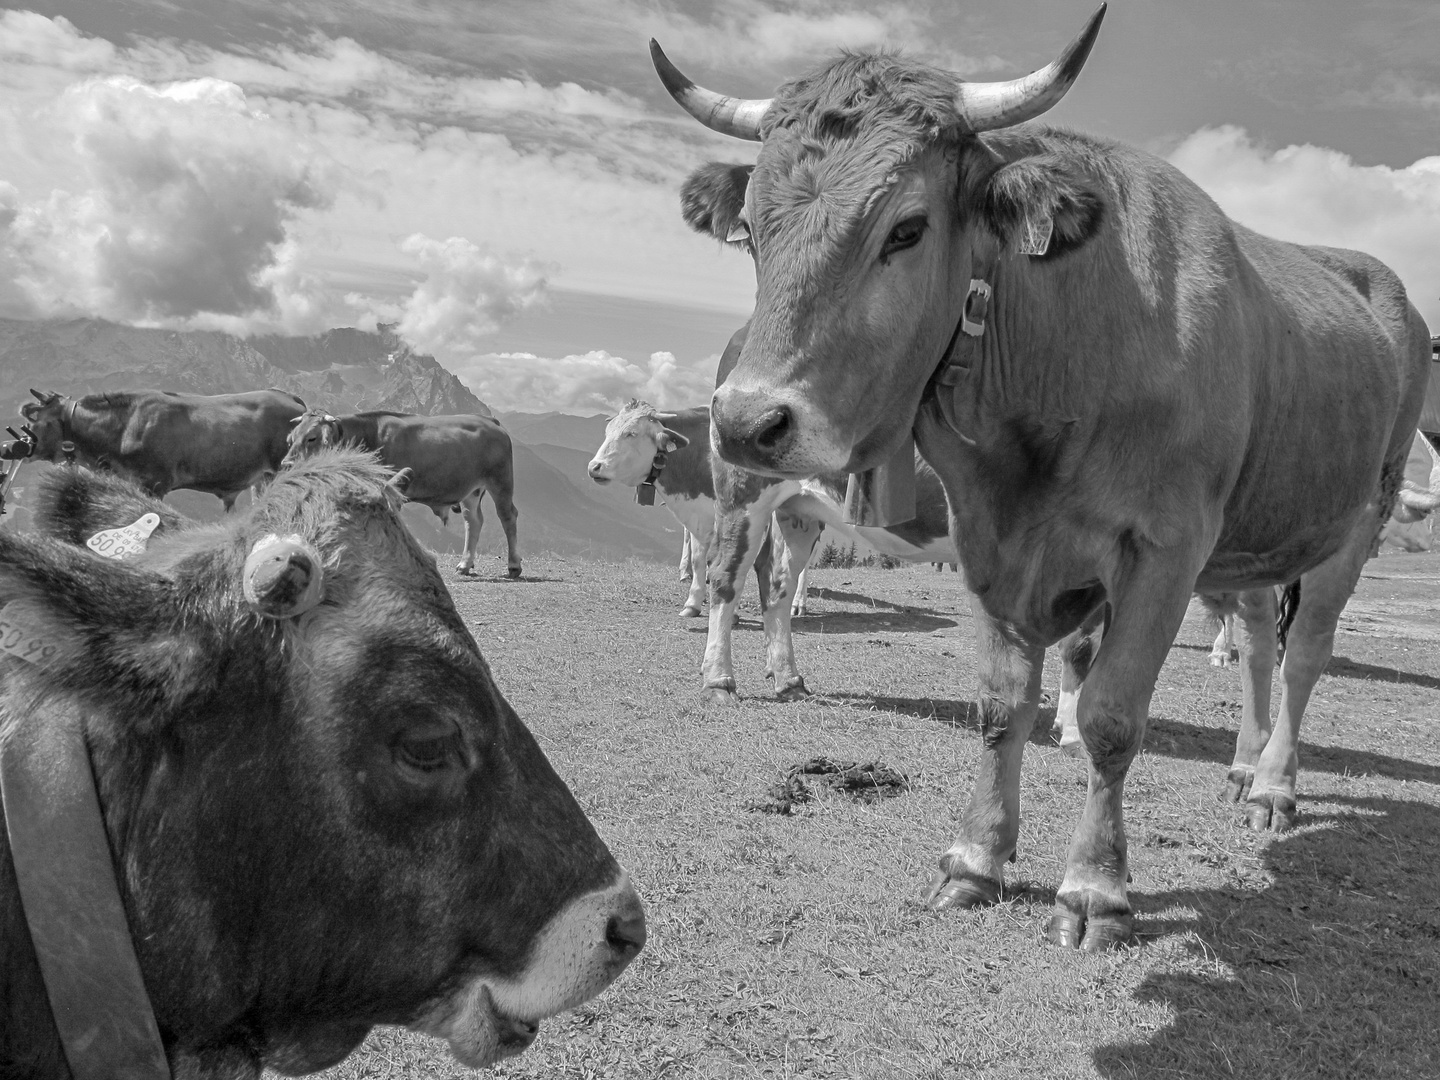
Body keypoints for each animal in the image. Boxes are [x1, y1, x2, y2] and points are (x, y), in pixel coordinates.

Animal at [283, 408, 521, 578]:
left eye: (312, 437)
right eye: (291, 439)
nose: (286, 464)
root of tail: (489, 420)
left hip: (501, 481)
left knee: (508, 516)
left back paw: (514, 565)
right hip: (471, 490)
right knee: (473, 521)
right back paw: (464, 564)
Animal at [659, 0, 1434, 950]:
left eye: (906, 229)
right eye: (752, 234)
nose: (745, 421)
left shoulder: (1164, 547)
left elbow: (1109, 713)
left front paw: (1095, 888)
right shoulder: (989, 537)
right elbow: (1001, 703)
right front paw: (976, 859)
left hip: (1357, 522)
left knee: (1305, 655)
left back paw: (1277, 785)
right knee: (1258, 642)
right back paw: (1245, 770)